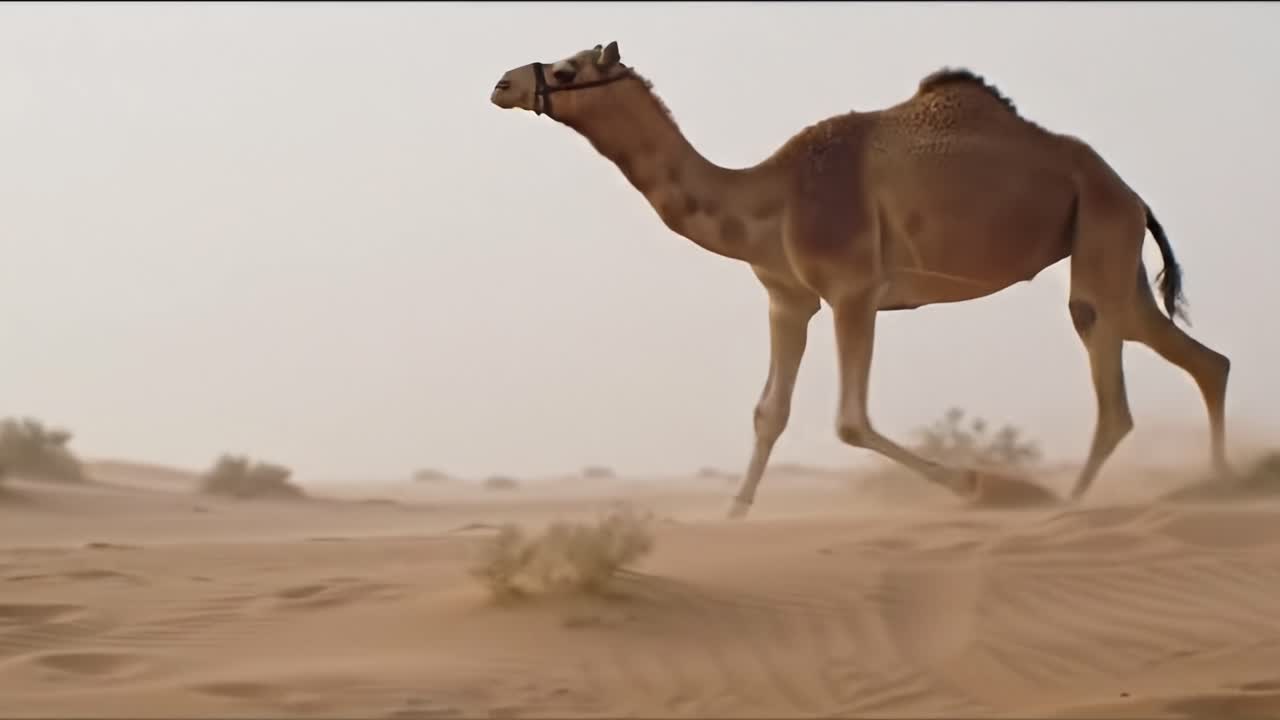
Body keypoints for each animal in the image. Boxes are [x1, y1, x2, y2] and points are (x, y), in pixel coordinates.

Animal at [490, 41, 1233, 519]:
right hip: (1114, 249)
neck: (772, 196)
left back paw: (1067, 500)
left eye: (567, 68)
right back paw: (1218, 483)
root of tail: (1133, 194)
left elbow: (850, 421)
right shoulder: (787, 299)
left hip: (1102, 231)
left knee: (1114, 379)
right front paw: (734, 511)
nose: (502, 83)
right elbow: (768, 412)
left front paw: (976, 484)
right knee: (1199, 359)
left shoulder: (852, 290)